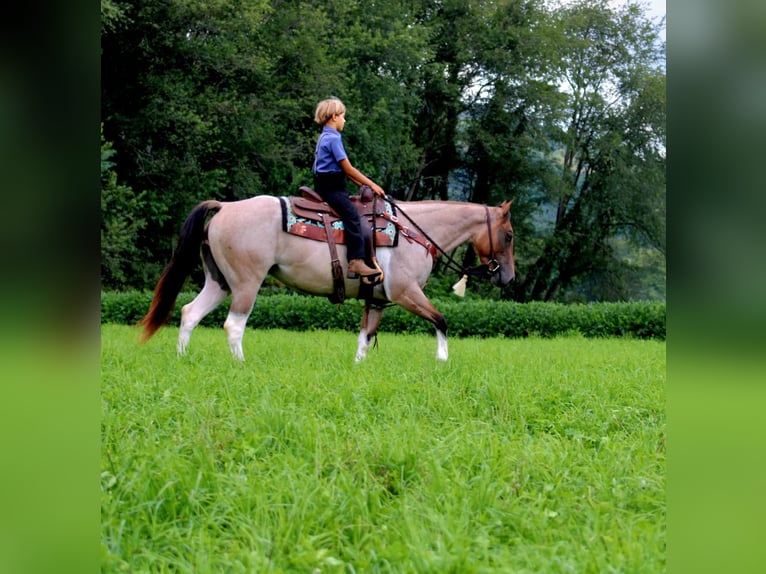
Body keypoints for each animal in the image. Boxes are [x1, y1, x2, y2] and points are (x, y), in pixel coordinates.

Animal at [141, 196, 520, 362]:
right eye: (510, 235)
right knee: (233, 325)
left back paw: (182, 357)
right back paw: (241, 364)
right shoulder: (405, 292)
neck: (413, 231)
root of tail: (225, 206)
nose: (509, 278)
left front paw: (358, 368)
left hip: (219, 281)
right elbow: (441, 320)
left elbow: (365, 338)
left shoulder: (378, 300)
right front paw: (442, 361)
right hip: (246, 283)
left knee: (190, 312)